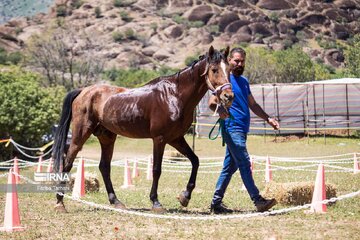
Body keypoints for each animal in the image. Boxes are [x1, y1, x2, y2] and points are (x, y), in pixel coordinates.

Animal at [52, 45, 233, 212]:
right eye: (214, 70)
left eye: (229, 69)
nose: (228, 96)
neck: (174, 95)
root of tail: (83, 91)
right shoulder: (159, 139)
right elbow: (156, 169)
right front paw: (156, 202)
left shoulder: (176, 138)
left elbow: (195, 161)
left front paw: (185, 197)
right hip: (80, 135)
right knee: (67, 163)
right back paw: (60, 203)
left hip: (107, 137)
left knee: (104, 167)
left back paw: (115, 201)